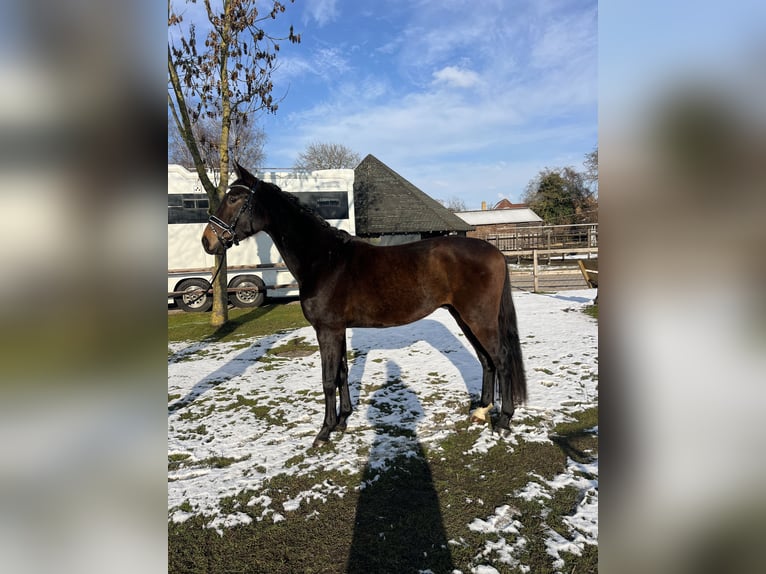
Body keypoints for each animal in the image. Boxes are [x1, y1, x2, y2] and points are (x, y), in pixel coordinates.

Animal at [202, 162, 527, 447]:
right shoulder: (337, 329)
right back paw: (481, 410)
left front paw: (324, 432)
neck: (324, 259)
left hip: (478, 318)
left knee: (501, 359)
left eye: (234, 198)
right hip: (463, 316)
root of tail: (495, 252)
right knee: (486, 360)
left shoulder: (327, 330)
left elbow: (327, 379)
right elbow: (342, 372)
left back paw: (503, 421)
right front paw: (343, 420)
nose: (207, 241)